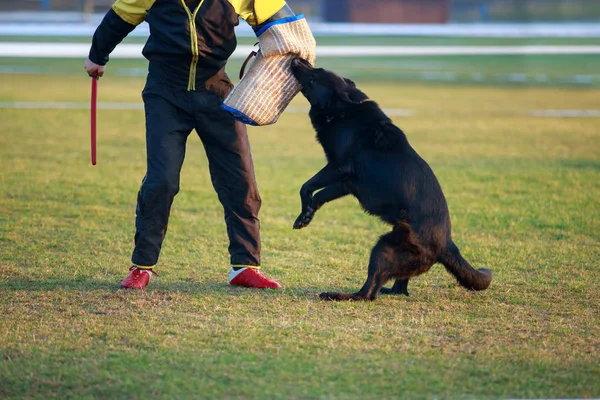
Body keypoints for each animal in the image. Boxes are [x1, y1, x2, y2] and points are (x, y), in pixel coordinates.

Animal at [290, 56, 492, 300]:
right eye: (316, 68)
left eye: (314, 76)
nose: (295, 59)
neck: (345, 113)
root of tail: (447, 244)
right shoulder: (346, 183)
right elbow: (318, 194)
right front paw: (307, 215)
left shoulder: (338, 168)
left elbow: (307, 186)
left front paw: (303, 215)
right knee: (398, 288)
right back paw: (390, 290)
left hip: (384, 247)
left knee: (368, 293)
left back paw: (338, 295)